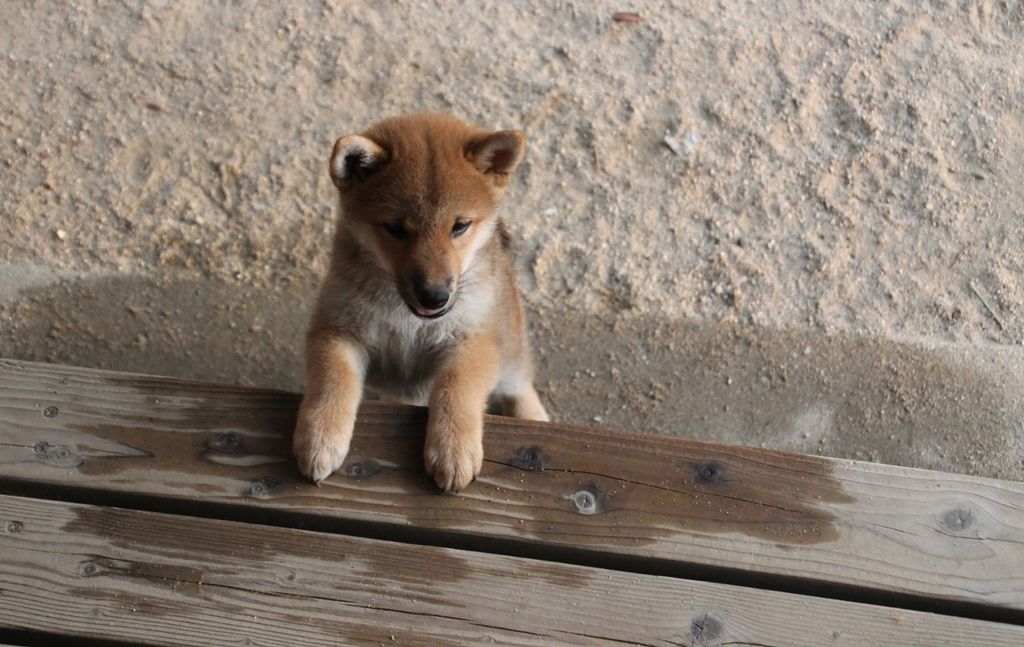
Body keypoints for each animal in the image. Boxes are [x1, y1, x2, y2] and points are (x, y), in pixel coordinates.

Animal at [292, 112, 549, 493]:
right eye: (395, 228)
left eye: (459, 226)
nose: (434, 294)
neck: (409, 321)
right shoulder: (337, 330)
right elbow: (333, 381)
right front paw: (320, 437)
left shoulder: (473, 339)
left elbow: (457, 387)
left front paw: (453, 449)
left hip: (510, 341)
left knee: (520, 383)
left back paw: (535, 418)